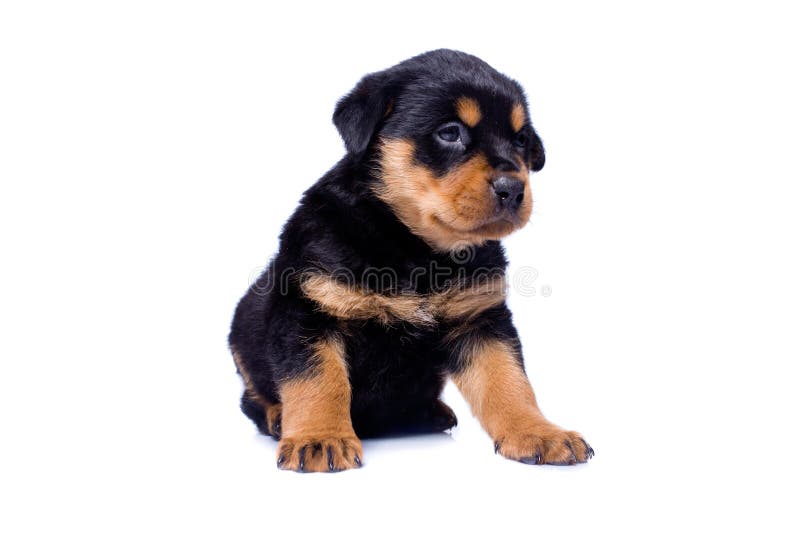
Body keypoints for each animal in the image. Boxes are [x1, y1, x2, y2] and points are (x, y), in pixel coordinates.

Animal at [228, 49, 592, 474]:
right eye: (449, 133)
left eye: (520, 139)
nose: (513, 189)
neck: (415, 247)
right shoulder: (308, 310)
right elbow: (319, 381)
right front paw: (319, 439)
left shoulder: (481, 320)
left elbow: (509, 381)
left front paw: (540, 433)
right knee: (253, 398)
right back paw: (277, 417)